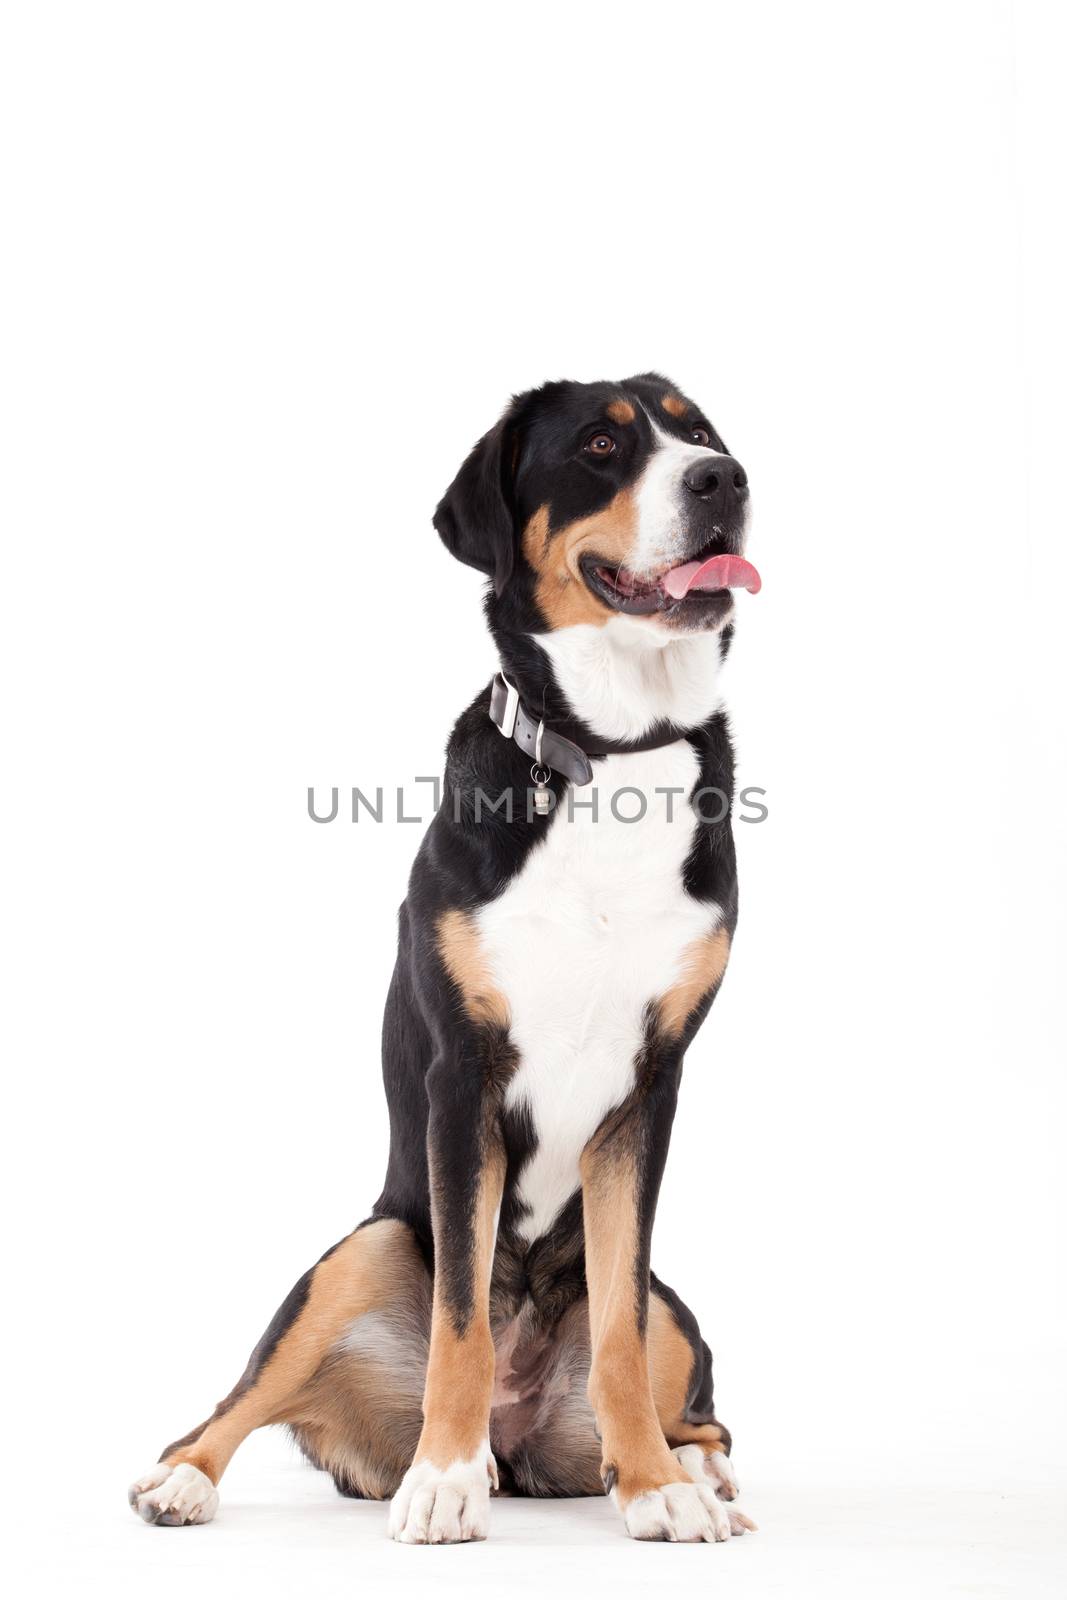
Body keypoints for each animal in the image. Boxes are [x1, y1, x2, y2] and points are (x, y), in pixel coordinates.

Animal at [129, 371, 764, 1536]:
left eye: (696, 429)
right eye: (601, 443)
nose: (722, 479)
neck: (610, 758)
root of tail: (523, 1435)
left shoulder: (647, 1090)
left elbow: (614, 1328)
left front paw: (652, 1486)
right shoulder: (462, 1075)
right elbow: (461, 1317)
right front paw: (441, 1479)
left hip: (673, 1306)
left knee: (692, 1395)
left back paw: (691, 1471)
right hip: (365, 1245)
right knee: (241, 1397)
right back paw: (187, 1476)